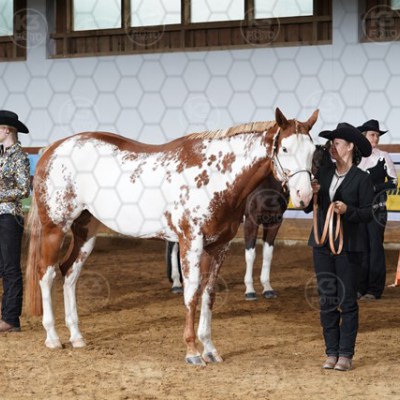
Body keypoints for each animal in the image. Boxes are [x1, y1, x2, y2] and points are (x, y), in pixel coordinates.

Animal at [165, 145, 331, 299]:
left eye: (327, 162)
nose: (307, 194)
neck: (266, 186)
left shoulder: (275, 222)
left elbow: (268, 254)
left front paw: (267, 287)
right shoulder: (251, 222)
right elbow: (250, 254)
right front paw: (250, 290)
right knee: (173, 246)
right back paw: (176, 283)